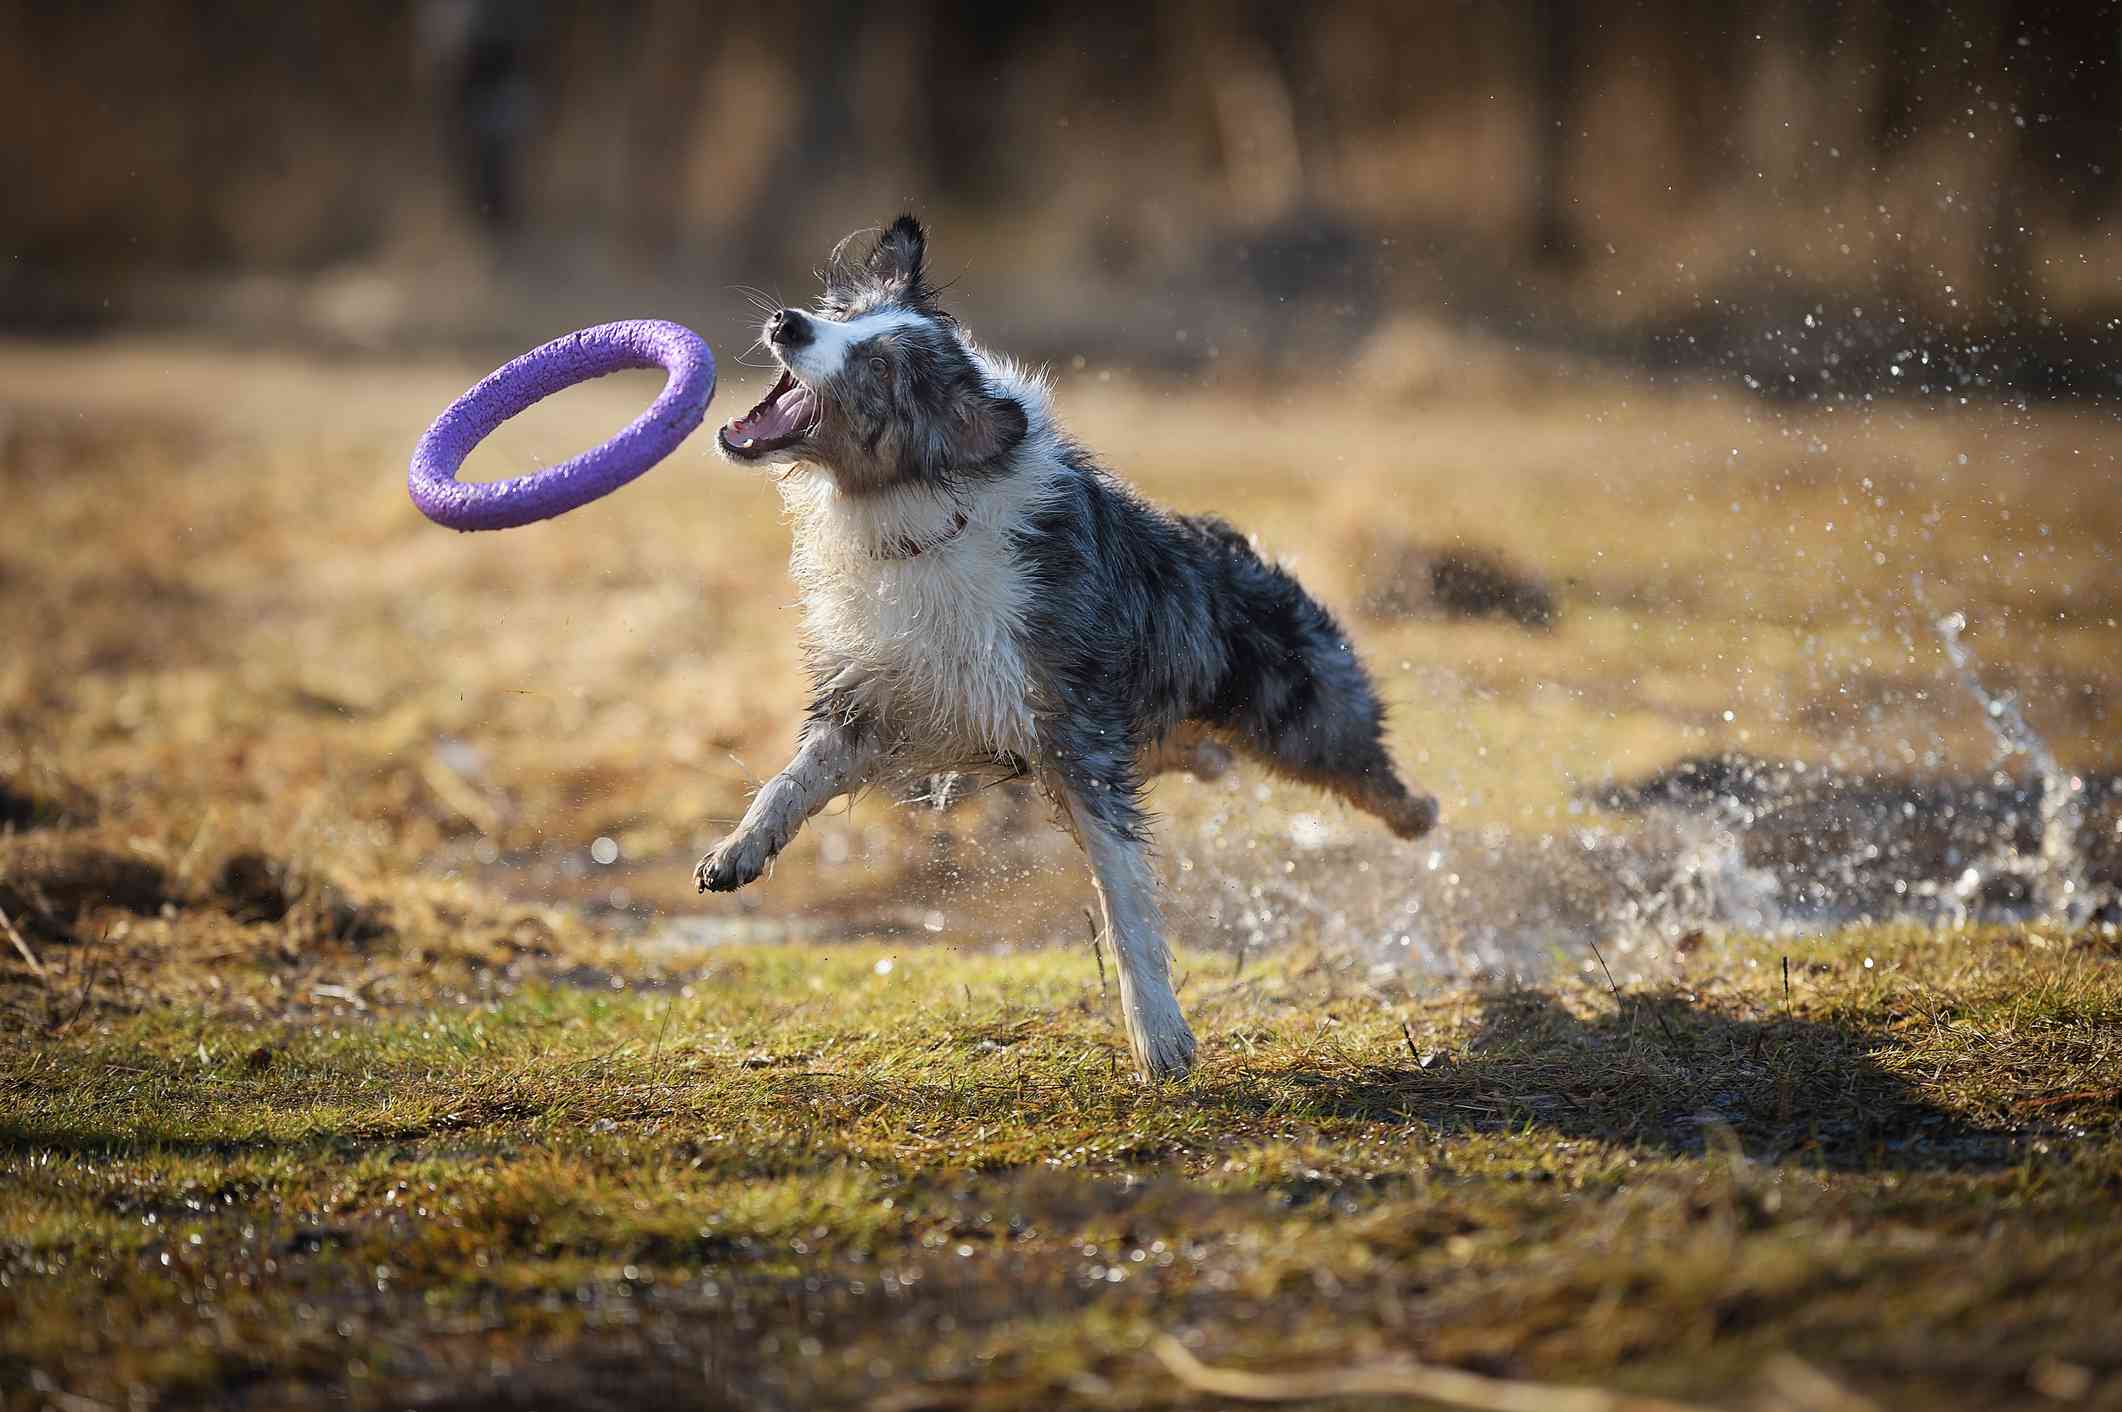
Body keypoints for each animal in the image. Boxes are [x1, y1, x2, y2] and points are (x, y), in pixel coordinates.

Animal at [704, 217, 1434, 1078]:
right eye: (841, 312)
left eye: (881, 366)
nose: (788, 323)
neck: (922, 522)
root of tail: (1247, 554)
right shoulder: (875, 700)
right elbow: (791, 781)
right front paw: (739, 849)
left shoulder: (1076, 737)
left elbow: (1126, 903)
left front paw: (1159, 1035)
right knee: (1204, 752)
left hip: (1306, 716)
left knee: (1369, 772)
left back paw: (1418, 814)